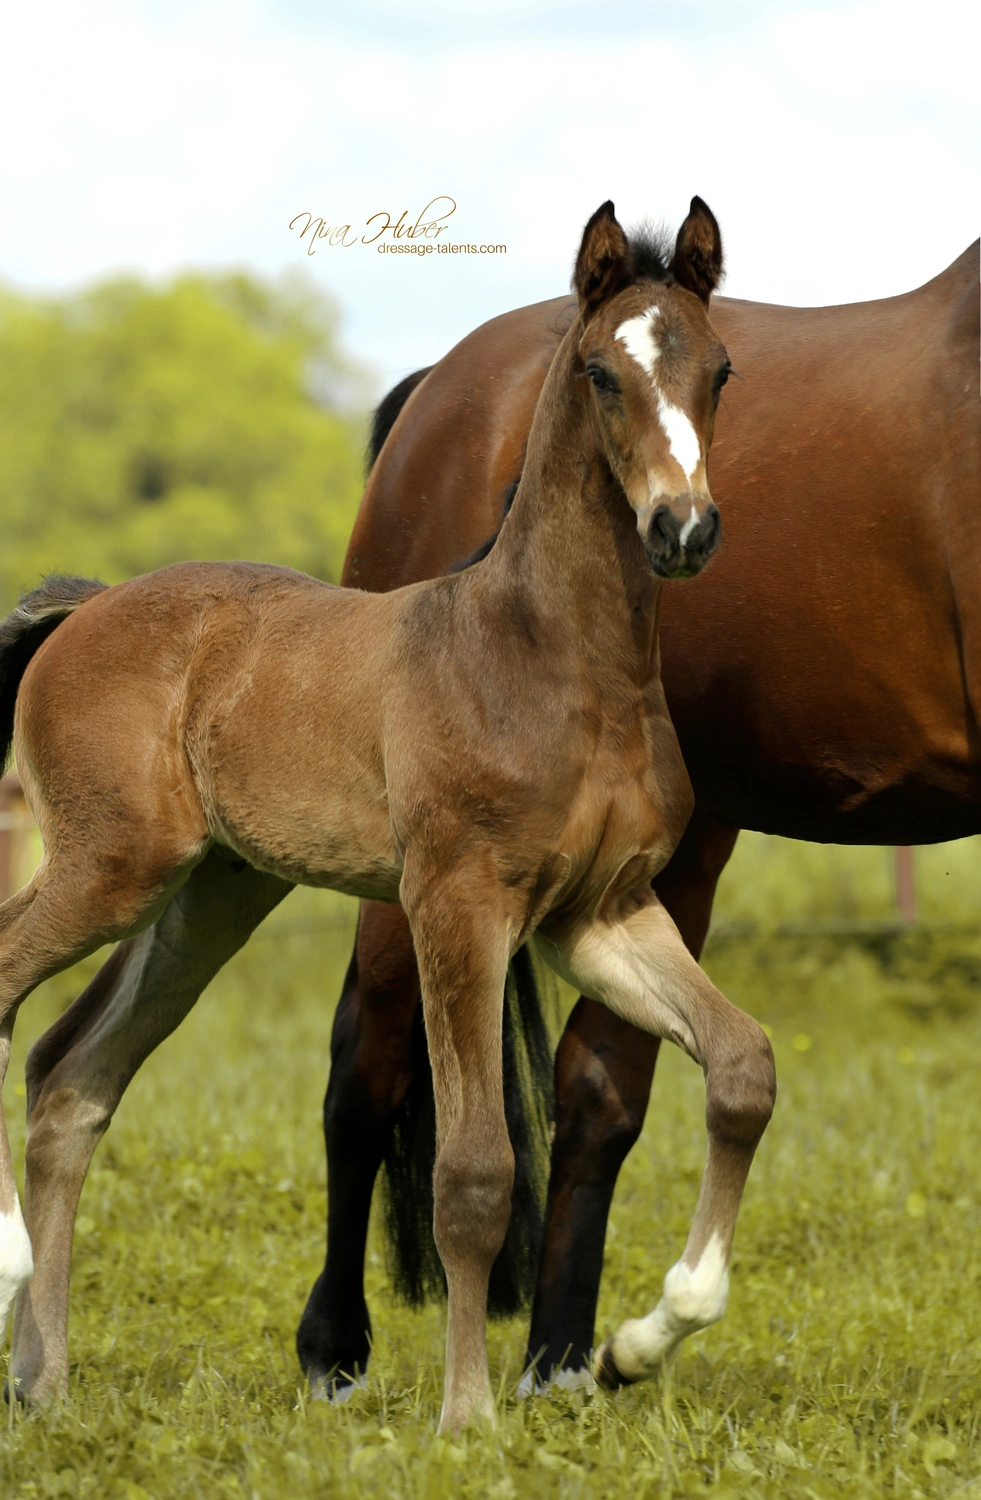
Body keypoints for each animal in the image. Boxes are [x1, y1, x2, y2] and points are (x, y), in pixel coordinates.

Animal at [0, 199, 776, 1431]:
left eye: (721, 369)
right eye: (601, 373)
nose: (683, 531)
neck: (555, 664)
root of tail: (86, 606)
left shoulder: (599, 916)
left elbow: (743, 1066)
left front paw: (644, 1337)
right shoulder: (456, 902)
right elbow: (474, 1172)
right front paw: (467, 1419)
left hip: (209, 895)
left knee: (73, 1077)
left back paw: (45, 1379)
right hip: (108, 868)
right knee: (8, 997)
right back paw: (15, 1285)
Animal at [292, 233, 980, 1396]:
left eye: (727, 378)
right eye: (603, 381)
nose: (688, 528)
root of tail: (435, 392)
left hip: (670, 856)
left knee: (600, 1086)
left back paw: (568, 1358)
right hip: (416, 868)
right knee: (365, 1066)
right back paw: (335, 1350)